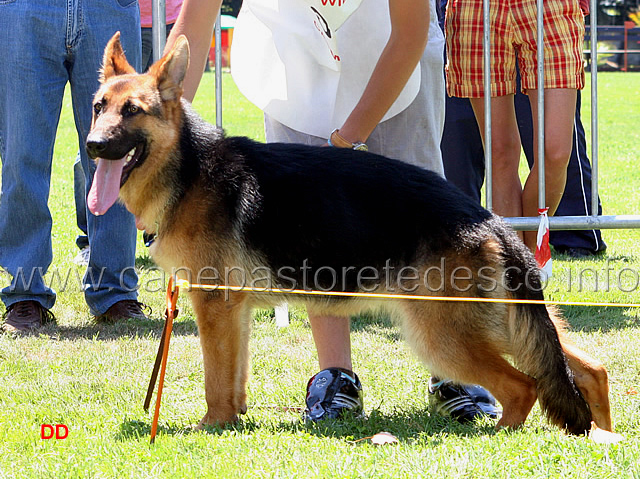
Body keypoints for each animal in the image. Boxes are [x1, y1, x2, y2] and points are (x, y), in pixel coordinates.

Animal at [84, 32, 608, 436]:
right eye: (98, 107)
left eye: (132, 111)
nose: (91, 145)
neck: (189, 167)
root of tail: (489, 218)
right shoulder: (234, 313)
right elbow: (233, 375)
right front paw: (232, 419)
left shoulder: (214, 305)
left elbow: (216, 377)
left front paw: (211, 426)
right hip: (502, 325)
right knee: (584, 368)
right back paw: (602, 434)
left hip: (442, 335)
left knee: (525, 386)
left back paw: (503, 434)